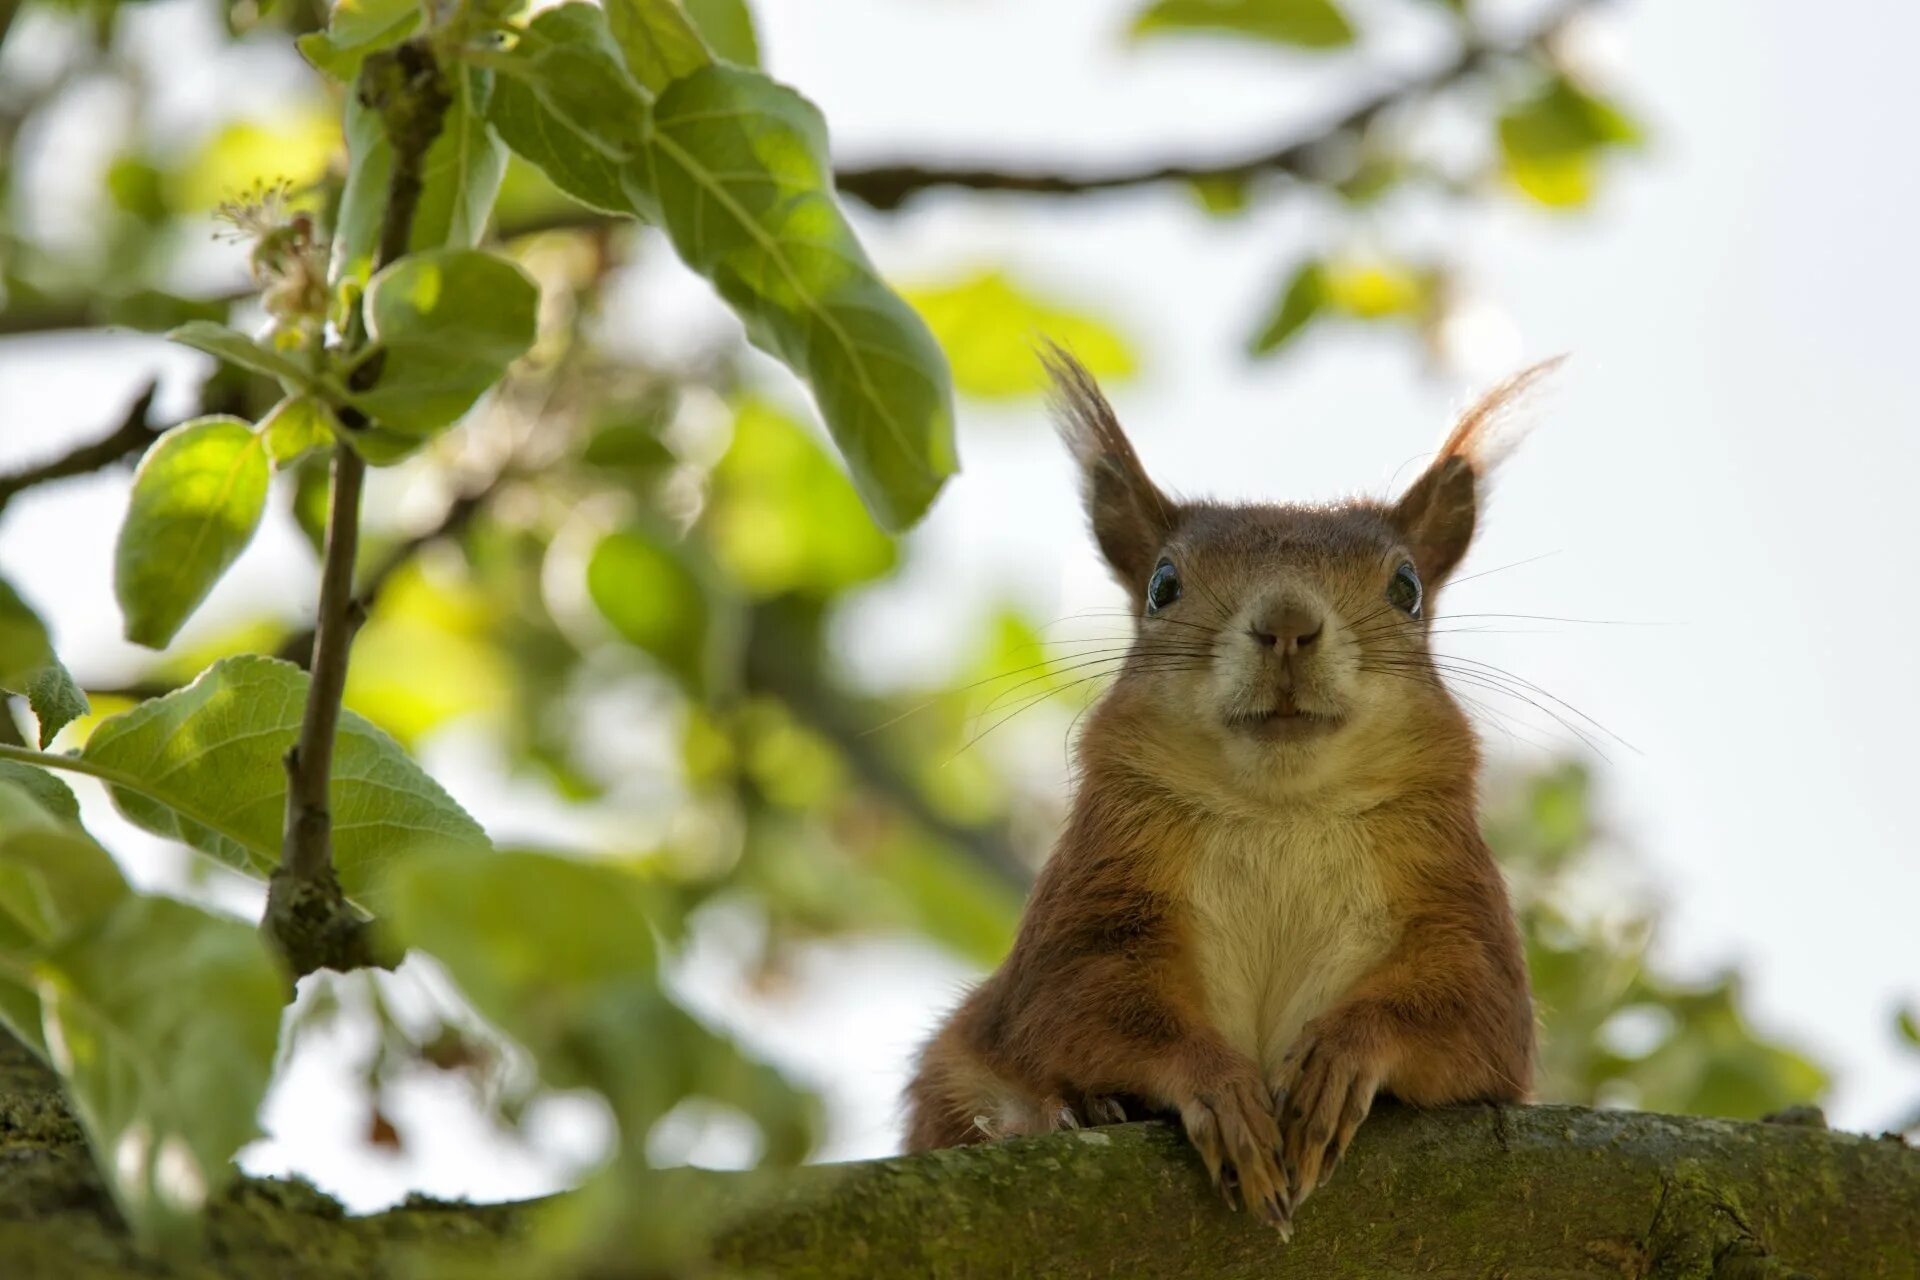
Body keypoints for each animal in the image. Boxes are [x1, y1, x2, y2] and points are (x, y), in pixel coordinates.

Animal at [906, 353, 1551, 1243]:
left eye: (1408, 587)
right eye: (1162, 585)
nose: (1286, 624)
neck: (1281, 811)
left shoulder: (1460, 912)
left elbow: (1476, 1018)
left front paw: (1339, 1059)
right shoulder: (1092, 905)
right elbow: (1075, 1007)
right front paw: (1220, 1090)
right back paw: (1079, 1111)